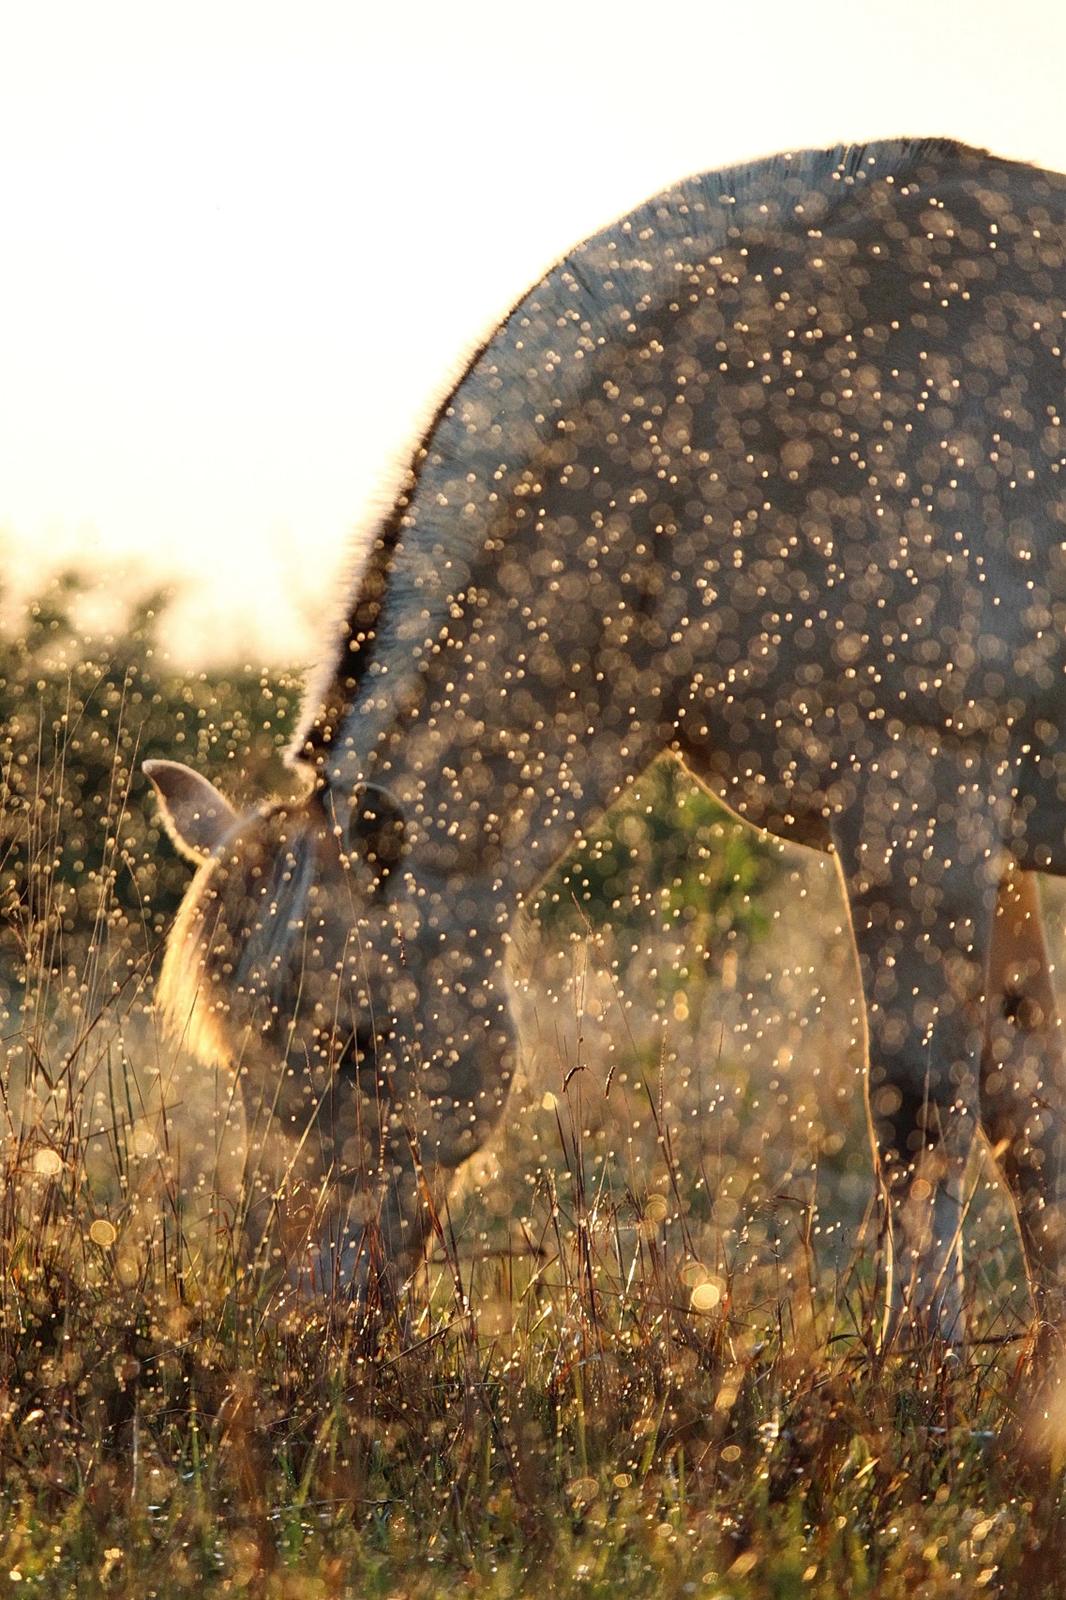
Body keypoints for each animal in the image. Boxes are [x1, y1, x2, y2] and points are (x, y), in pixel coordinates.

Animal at [145, 137, 1062, 1344]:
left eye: (355, 1042)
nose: (298, 1321)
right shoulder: (978, 840)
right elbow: (1027, 1113)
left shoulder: (926, 805)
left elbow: (922, 1113)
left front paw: (921, 1368)